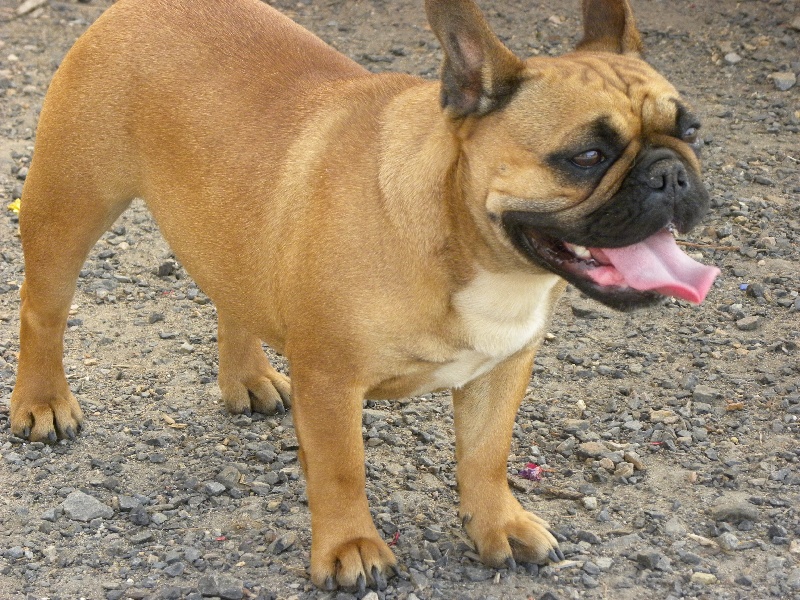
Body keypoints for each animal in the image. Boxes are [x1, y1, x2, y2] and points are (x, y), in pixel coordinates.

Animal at [11, 0, 719, 590]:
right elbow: (340, 468)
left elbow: (486, 456)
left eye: (691, 130)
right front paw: (350, 548)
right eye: (587, 156)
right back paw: (43, 404)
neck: (467, 247)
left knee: (232, 293)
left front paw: (499, 525)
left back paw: (249, 378)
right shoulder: (331, 381)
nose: (671, 174)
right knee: (42, 312)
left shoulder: (503, 367)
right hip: (69, 208)